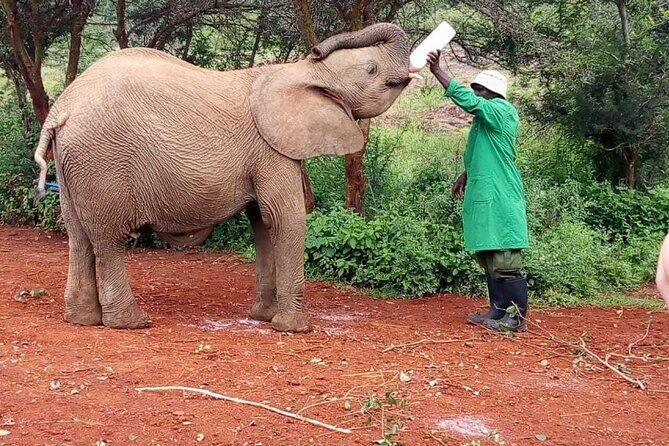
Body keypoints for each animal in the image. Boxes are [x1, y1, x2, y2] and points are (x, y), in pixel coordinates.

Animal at [33, 22, 414, 332]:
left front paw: (263, 317)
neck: (298, 72)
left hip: (74, 164)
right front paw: (293, 328)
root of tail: (60, 110)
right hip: (101, 161)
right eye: (371, 69)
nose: (317, 48)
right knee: (108, 239)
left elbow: (262, 222)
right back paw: (131, 322)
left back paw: (82, 320)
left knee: (79, 236)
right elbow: (285, 218)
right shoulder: (270, 150)